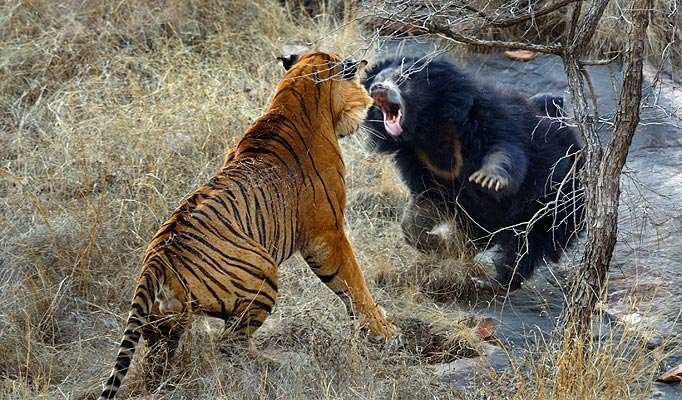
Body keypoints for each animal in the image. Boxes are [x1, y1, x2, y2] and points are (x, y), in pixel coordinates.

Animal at [99, 51, 397, 400]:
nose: (370, 102)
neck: (294, 95)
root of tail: (156, 259)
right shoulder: (327, 233)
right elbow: (353, 282)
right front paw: (382, 330)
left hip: (164, 322)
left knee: (160, 359)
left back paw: (166, 383)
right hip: (262, 273)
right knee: (229, 343)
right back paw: (279, 364)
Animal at [362, 55, 585, 293]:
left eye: (402, 79)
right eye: (376, 79)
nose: (377, 88)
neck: (428, 128)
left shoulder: (487, 119)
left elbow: (505, 151)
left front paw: (488, 179)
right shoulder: (419, 161)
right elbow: (425, 205)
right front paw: (439, 245)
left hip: (555, 202)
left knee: (527, 246)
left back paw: (495, 281)